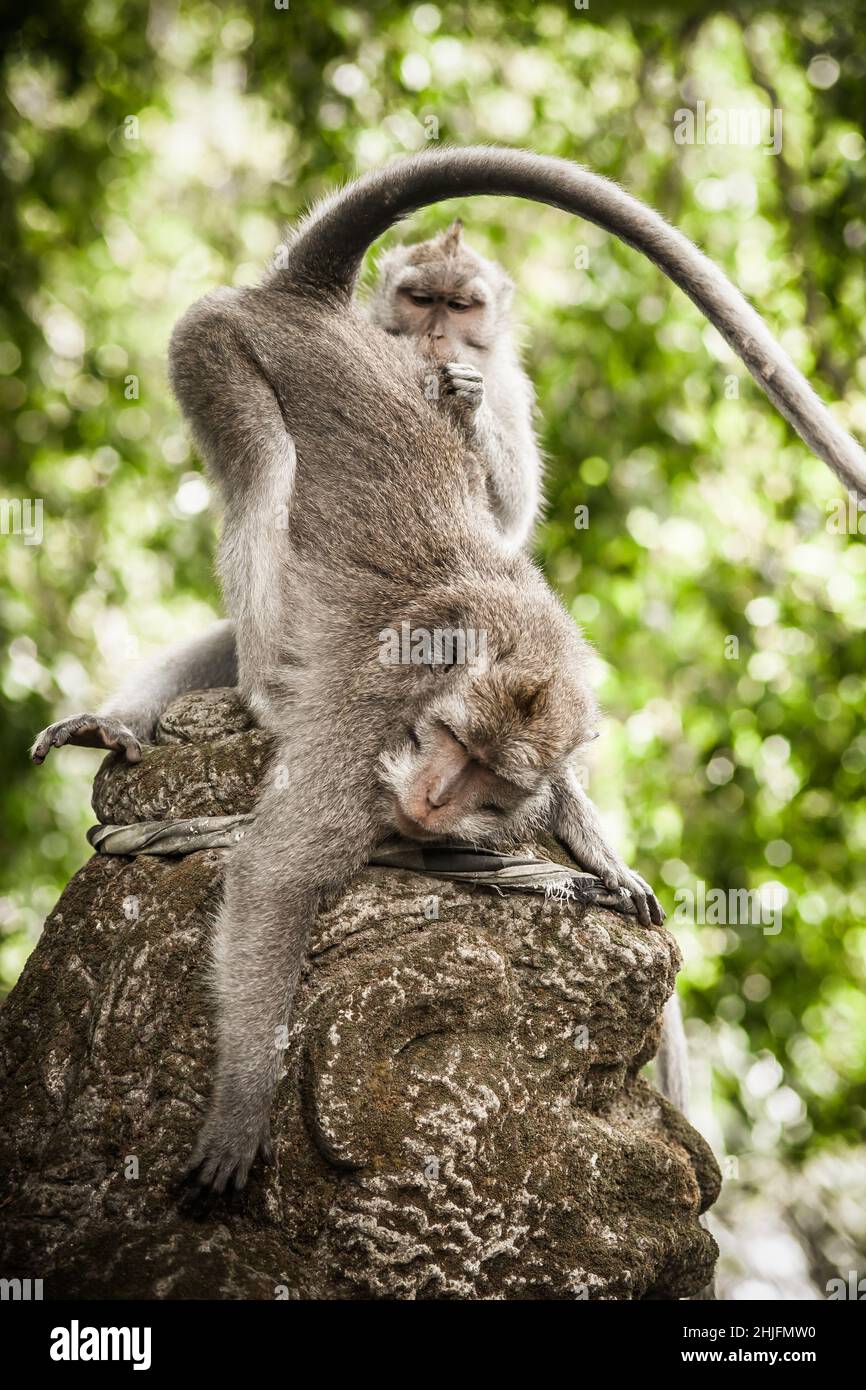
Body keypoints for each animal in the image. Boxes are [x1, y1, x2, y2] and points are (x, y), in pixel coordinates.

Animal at [32, 149, 866, 1195]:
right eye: (454, 744)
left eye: (486, 772)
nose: (431, 800)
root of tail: (307, 296)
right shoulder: (365, 736)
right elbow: (272, 875)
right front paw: (241, 1108)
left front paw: (588, 843)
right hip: (215, 347)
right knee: (266, 468)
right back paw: (256, 684)